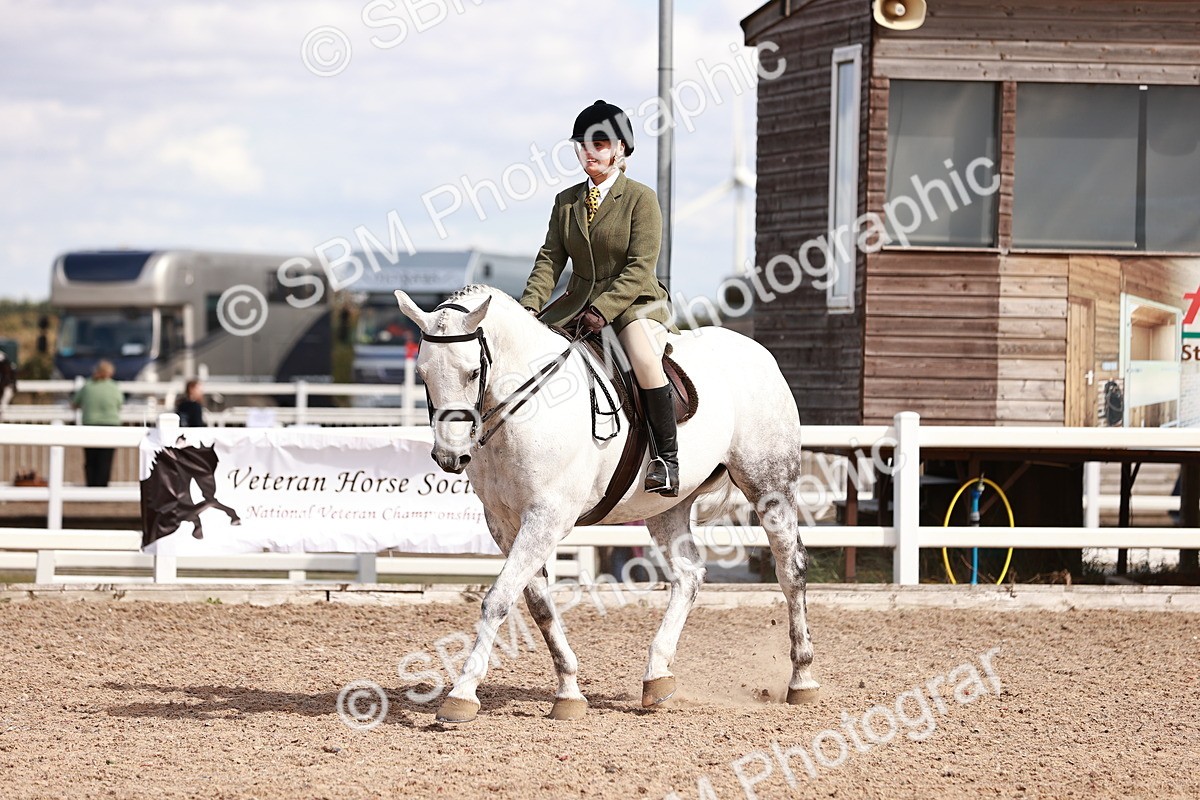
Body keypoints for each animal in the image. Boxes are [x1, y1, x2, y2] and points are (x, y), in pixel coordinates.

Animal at [394, 285, 819, 723]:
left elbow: (497, 600)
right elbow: (537, 604)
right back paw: (657, 676)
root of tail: (760, 353)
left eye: (473, 373)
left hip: (769, 484)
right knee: (688, 575)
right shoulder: (504, 524)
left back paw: (802, 679)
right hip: (666, 507)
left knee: (791, 569)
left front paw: (462, 694)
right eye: (422, 374)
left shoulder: (546, 518)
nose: (449, 457)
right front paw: (568, 691)